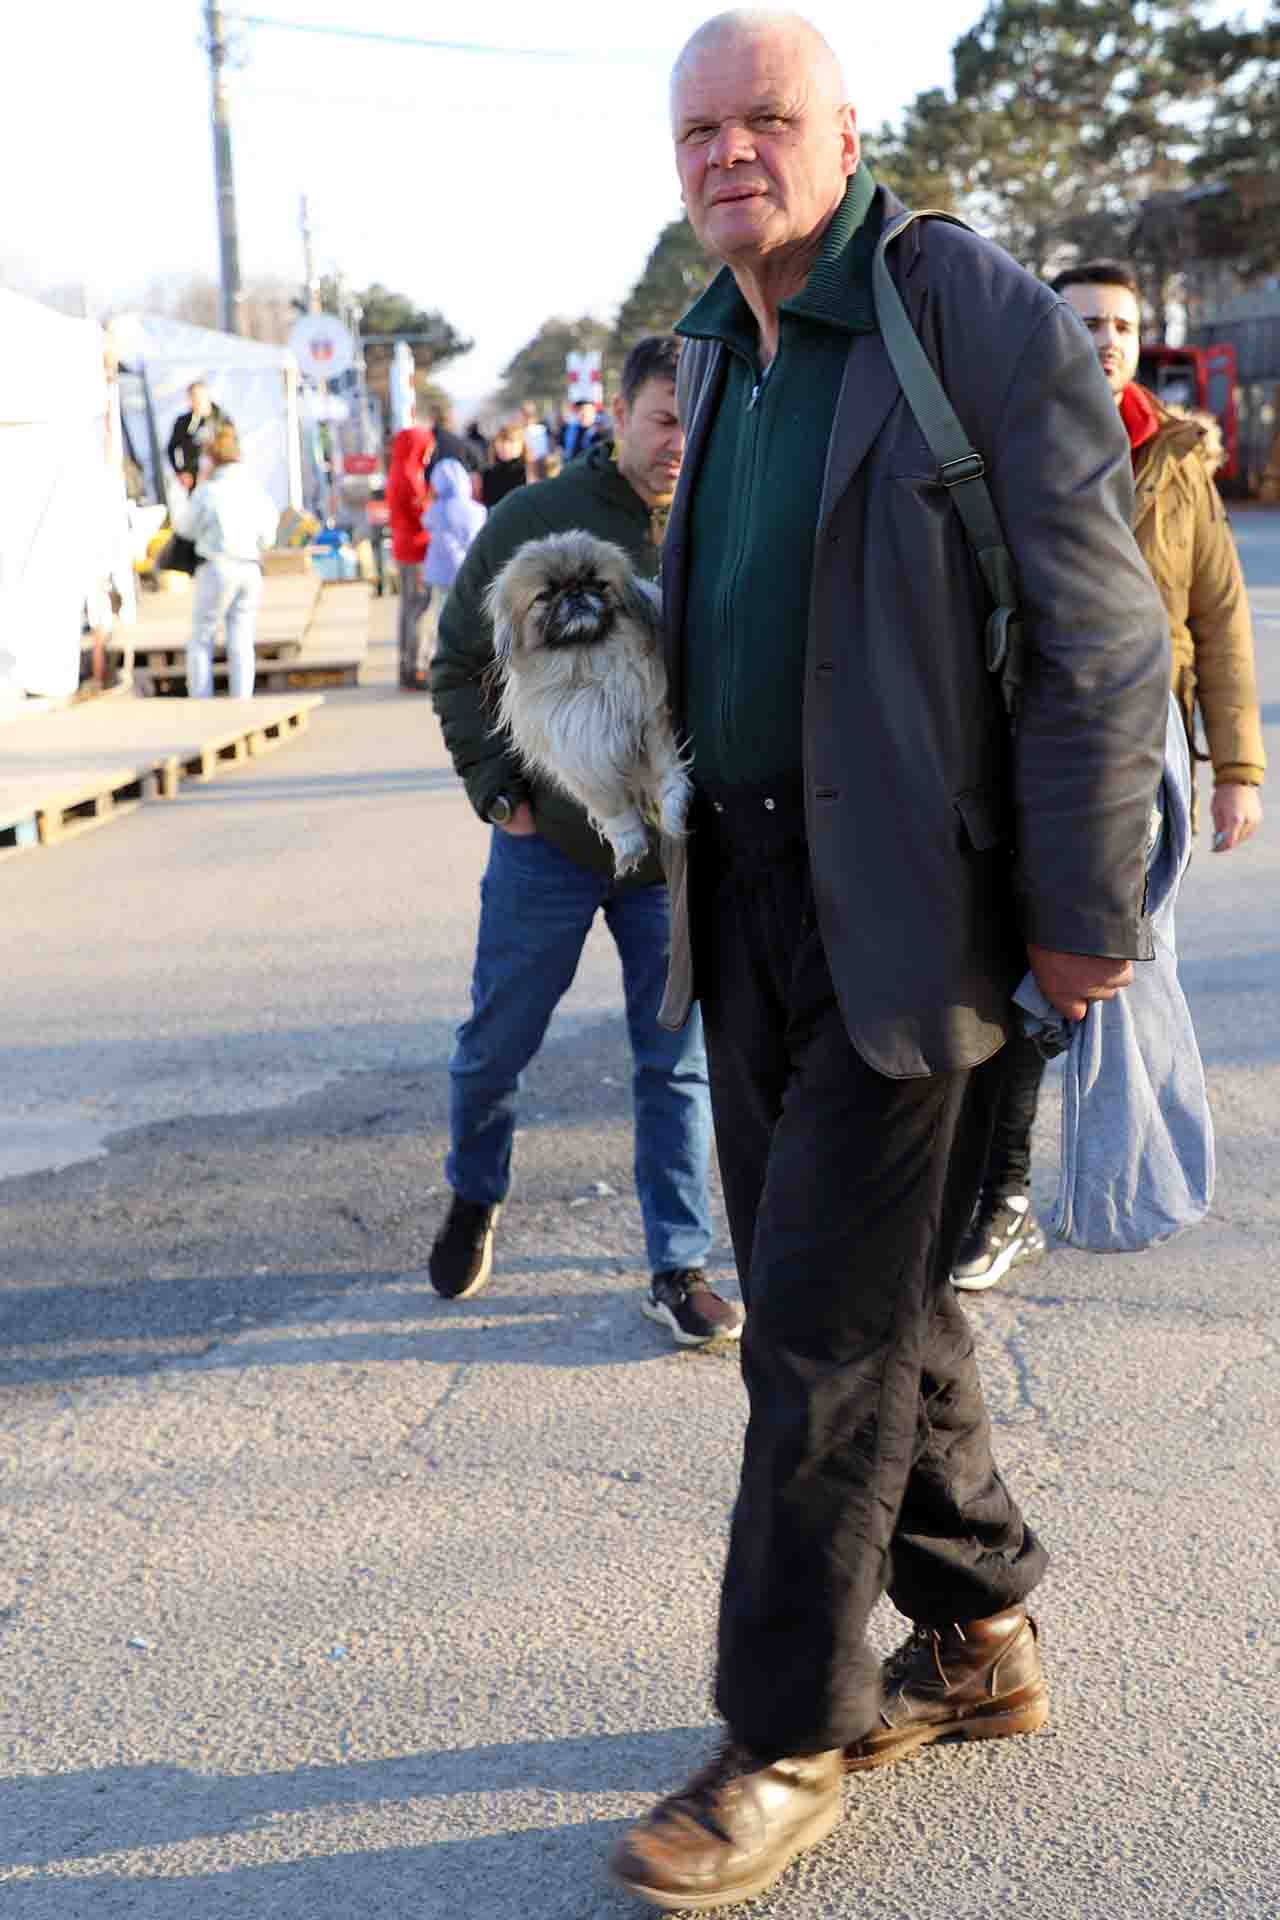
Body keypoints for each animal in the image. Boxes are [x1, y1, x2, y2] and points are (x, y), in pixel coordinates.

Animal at [487, 533, 690, 879]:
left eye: (597, 583)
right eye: (546, 595)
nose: (575, 593)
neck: (587, 666)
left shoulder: (652, 716)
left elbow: (665, 763)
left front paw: (675, 805)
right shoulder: (580, 749)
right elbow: (610, 804)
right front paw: (628, 843)